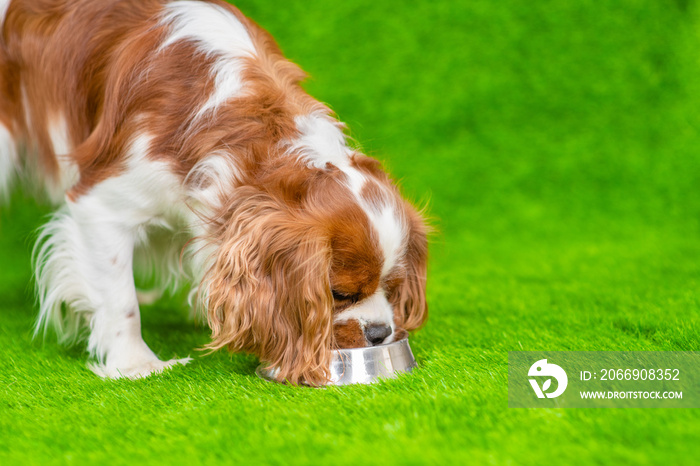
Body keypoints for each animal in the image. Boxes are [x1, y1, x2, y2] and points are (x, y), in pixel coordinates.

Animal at [0, 0, 430, 384]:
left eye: (392, 288)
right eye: (338, 294)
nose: (380, 333)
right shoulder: (101, 204)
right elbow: (119, 300)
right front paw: (136, 363)